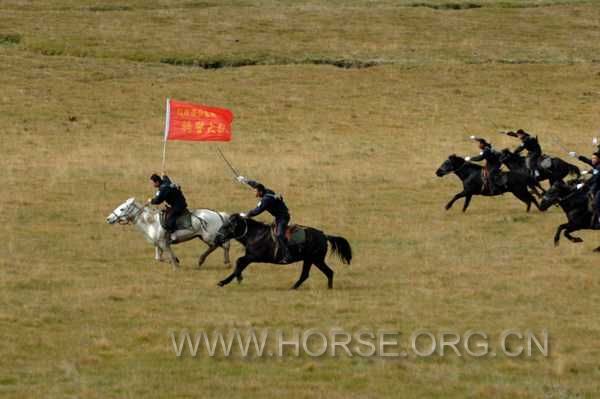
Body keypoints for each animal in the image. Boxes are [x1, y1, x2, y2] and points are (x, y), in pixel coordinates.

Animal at [213, 216, 352, 290]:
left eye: (227, 226)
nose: (216, 238)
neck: (255, 234)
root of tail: (324, 235)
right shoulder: (250, 256)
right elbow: (240, 263)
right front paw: (234, 279)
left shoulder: (254, 256)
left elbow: (239, 262)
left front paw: (227, 280)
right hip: (311, 260)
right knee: (318, 273)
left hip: (315, 259)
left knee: (324, 272)